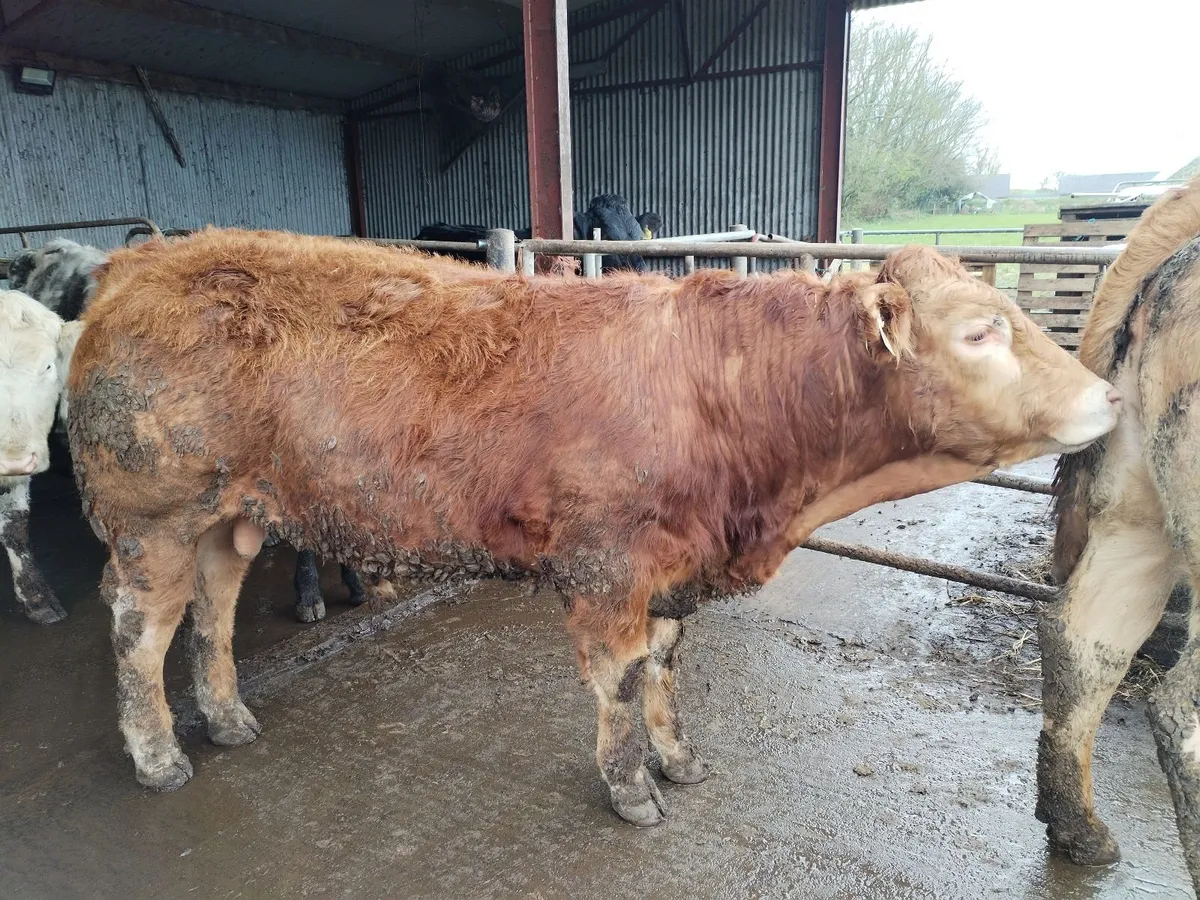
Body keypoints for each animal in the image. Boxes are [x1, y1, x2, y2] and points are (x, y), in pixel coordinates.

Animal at [67, 229, 1119, 825]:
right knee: (138, 632)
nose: (1110, 394)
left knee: (210, 614)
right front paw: (629, 790)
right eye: (981, 331)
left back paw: (227, 718)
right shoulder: (609, 567)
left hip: (227, 518)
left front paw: (676, 760)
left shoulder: (674, 572)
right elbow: (618, 681)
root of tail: (138, 261)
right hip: (152, 518)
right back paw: (159, 757)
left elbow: (663, 671)